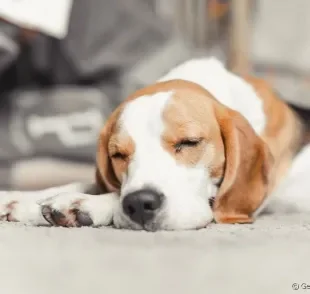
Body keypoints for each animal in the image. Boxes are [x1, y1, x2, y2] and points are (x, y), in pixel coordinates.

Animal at [0, 57, 308, 231]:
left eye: (189, 142)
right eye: (118, 154)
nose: (139, 204)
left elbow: (110, 195)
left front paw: (86, 205)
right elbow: (80, 182)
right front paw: (20, 199)